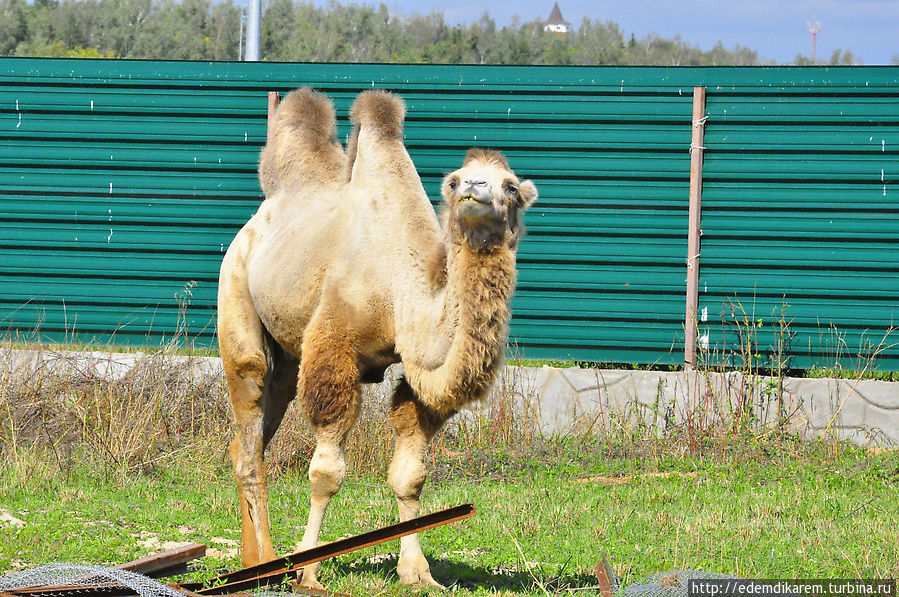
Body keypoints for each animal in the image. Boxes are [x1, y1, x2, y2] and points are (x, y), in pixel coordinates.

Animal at [219, 88, 536, 588]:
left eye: (508, 186)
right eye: (454, 181)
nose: (473, 189)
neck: (400, 291)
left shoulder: (415, 374)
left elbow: (410, 475)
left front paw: (418, 572)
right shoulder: (334, 345)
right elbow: (326, 473)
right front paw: (309, 572)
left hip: (286, 359)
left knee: (246, 442)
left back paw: (253, 564)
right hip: (235, 295)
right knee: (250, 428)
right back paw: (268, 562)